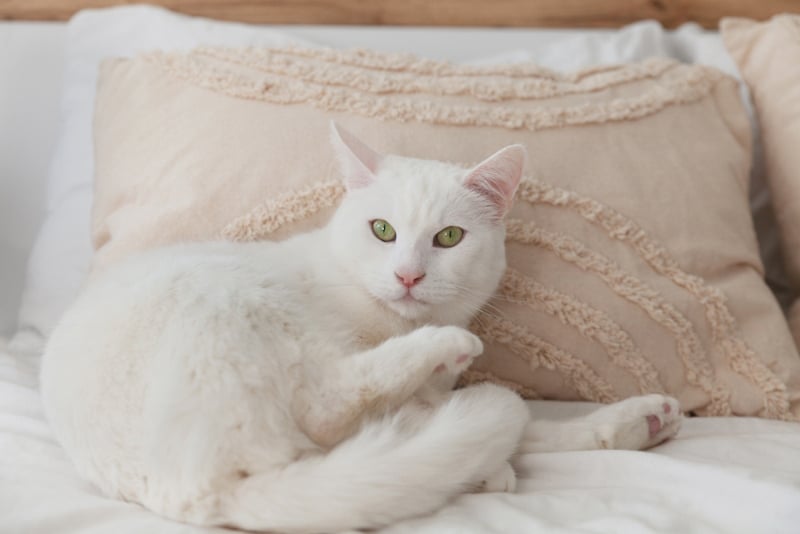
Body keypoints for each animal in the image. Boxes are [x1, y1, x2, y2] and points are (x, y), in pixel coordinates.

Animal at [40, 123, 680, 532]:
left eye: (449, 237)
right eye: (382, 230)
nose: (408, 275)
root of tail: (201, 494)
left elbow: (528, 428)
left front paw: (632, 422)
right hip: (240, 306)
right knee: (333, 406)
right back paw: (450, 359)